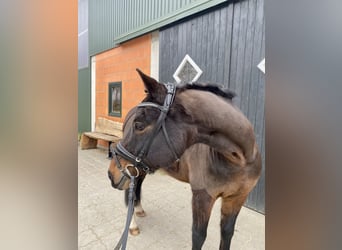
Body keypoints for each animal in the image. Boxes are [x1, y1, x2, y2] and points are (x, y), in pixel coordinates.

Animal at [108, 69, 260, 250]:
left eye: (139, 125)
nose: (111, 173)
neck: (238, 161)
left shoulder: (237, 198)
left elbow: (227, 232)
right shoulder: (202, 198)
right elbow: (199, 236)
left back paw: (138, 209)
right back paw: (132, 225)